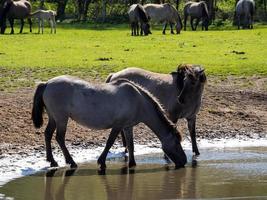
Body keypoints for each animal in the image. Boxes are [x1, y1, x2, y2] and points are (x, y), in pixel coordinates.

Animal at [31, 75, 187, 169]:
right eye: (177, 144)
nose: (184, 161)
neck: (137, 100)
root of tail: (47, 83)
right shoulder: (118, 126)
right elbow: (110, 142)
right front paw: (101, 161)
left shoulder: (127, 127)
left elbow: (131, 145)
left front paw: (132, 163)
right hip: (61, 119)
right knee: (59, 138)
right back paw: (71, 162)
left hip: (54, 118)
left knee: (48, 135)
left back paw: (52, 161)